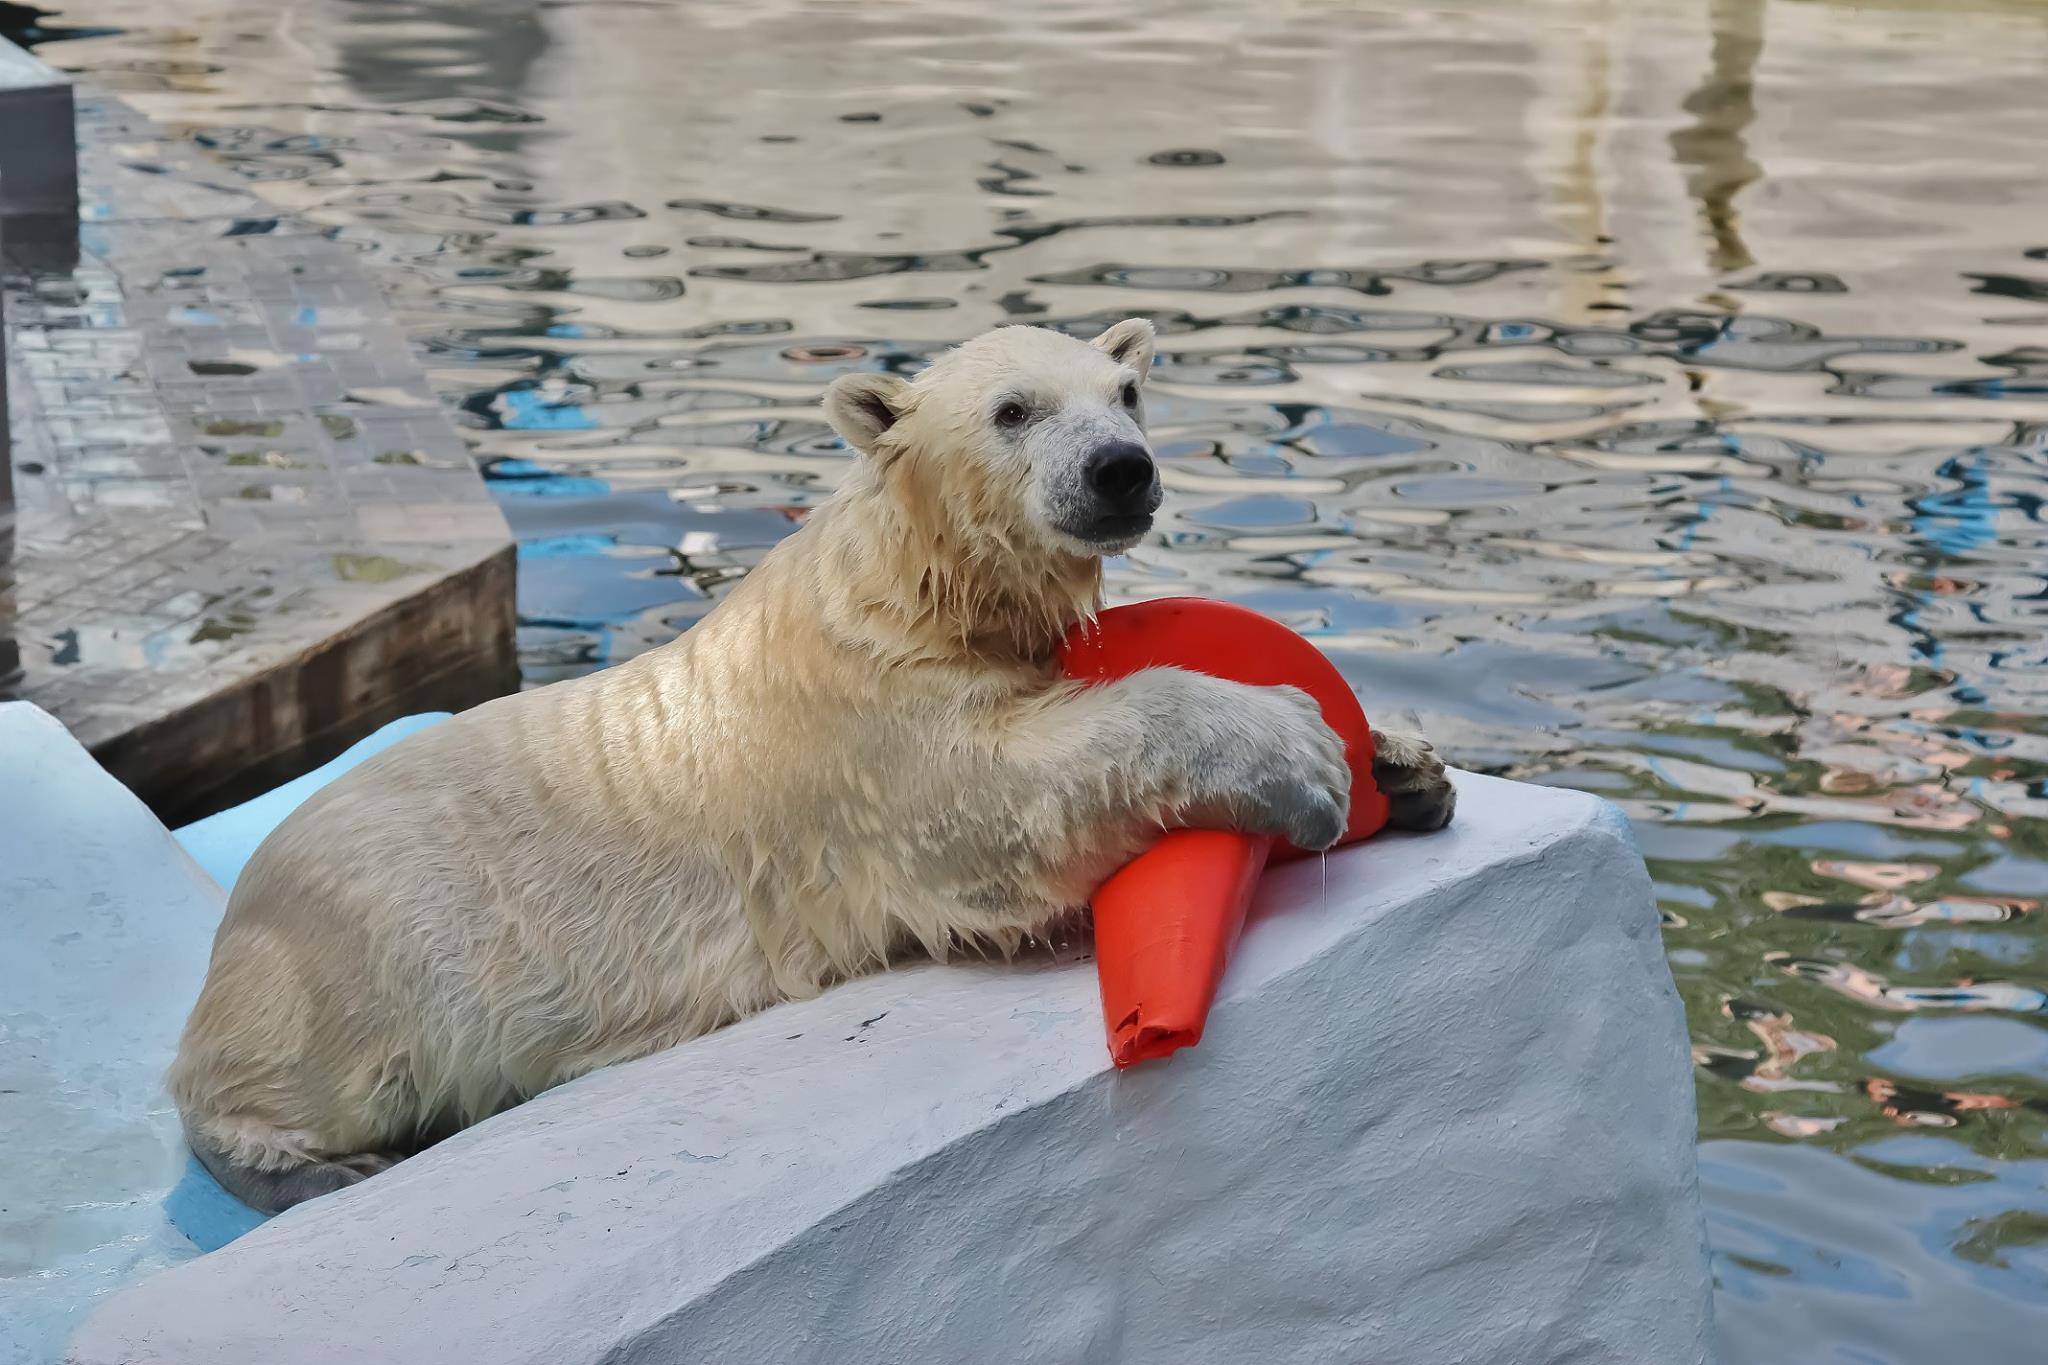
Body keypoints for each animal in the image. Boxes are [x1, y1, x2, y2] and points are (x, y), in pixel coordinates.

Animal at [172, 323, 1458, 1219]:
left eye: (1128, 393)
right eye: (1013, 409)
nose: (1119, 471)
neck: (908, 583)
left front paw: (1406, 766)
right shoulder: (866, 728)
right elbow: (1006, 798)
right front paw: (1300, 749)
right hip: (360, 953)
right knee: (268, 1080)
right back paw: (317, 1170)